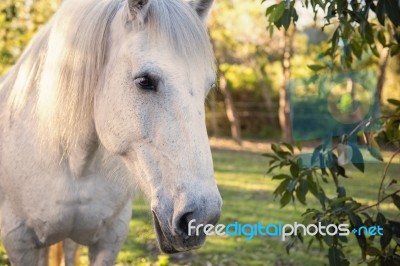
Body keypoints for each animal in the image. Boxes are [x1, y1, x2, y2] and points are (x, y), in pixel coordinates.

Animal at [0, 0, 222, 264]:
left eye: (208, 86)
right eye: (144, 81)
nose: (202, 217)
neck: (76, 168)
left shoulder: (111, 238)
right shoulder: (18, 241)